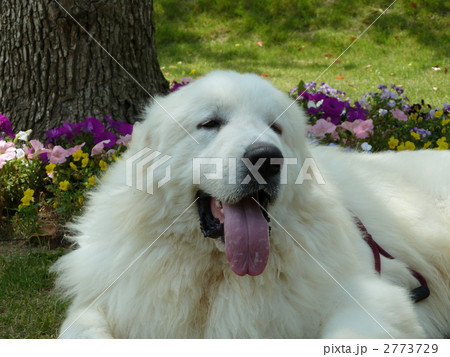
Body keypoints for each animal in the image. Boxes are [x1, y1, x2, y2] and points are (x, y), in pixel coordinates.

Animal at [54, 69, 450, 336]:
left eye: (276, 128)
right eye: (210, 123)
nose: (266, 158)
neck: (217, 272)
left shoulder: (373, 301)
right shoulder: (104, 302)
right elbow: (80, 330)